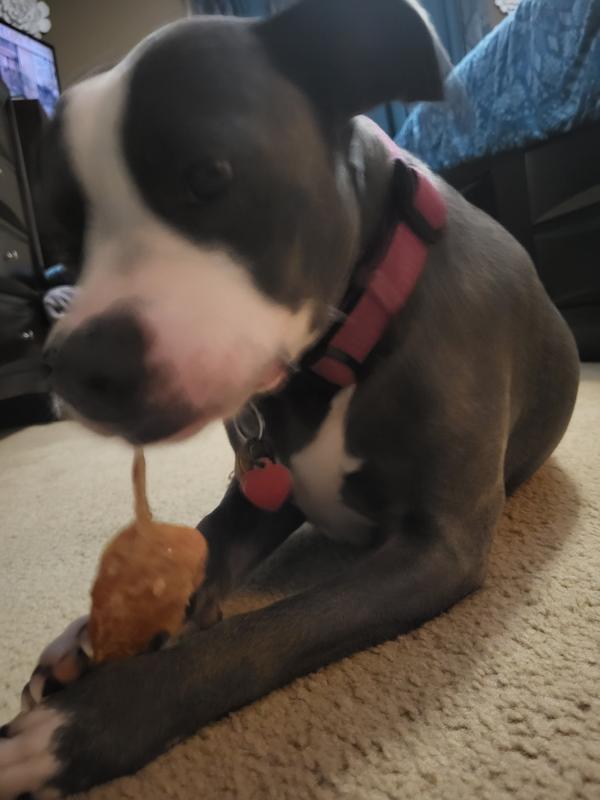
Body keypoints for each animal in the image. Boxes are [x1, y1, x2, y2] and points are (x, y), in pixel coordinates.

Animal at [0, 0, 579, 796]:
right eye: (60, 241)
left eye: (209, 175)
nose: (76, 364)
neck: (338, 357)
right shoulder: (260, 490)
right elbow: (204, 538)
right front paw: (87, 637)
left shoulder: (438, 547)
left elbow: (258, 634)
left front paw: (88, 723)